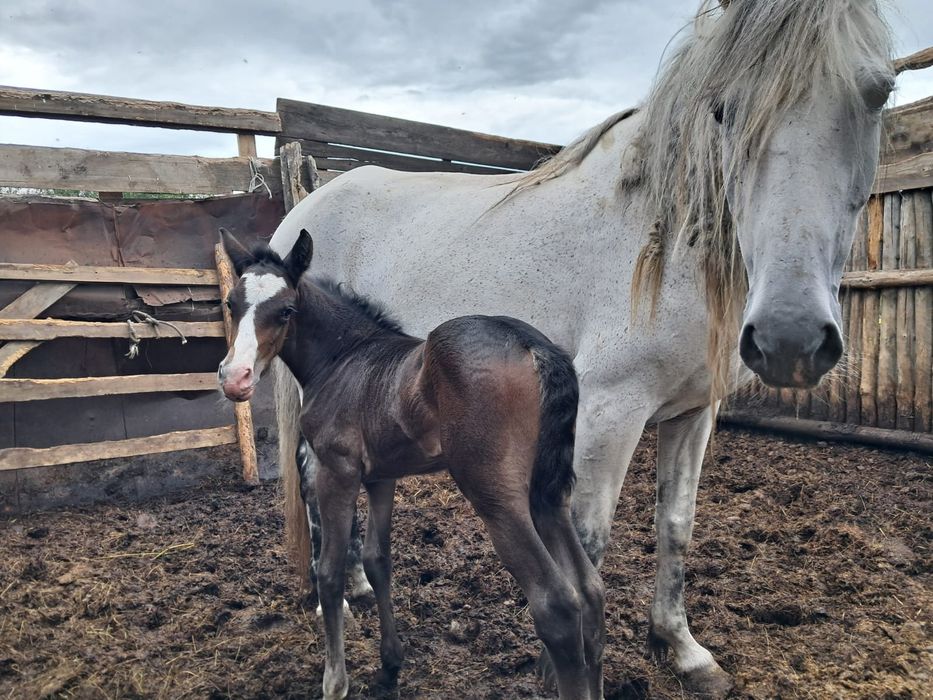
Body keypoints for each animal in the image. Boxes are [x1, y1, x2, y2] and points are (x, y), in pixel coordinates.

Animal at [217, 228, 605, 700]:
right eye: (231, 304)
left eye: (286, 310)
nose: (235, 378)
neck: (343, 360)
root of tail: (534, 345)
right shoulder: (382, 478)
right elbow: (377, 559)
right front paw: (389, 667)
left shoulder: (337, 471)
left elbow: (330, 572)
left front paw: (335, 682)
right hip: (546, 494)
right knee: (590, 590)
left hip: (496, 497)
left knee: (557, 605)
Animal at [268, 1, 894, 695]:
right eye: (723, 109)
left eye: (879, 93)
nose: (791, 337)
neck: (659, 242)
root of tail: (308, 203)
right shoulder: (607, 411)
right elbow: (590, 540)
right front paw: (556, 665)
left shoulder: (692, 412)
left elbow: (676, 527)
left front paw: (680, 648)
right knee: (310, 477)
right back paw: (335, 594)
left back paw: (351, 583)